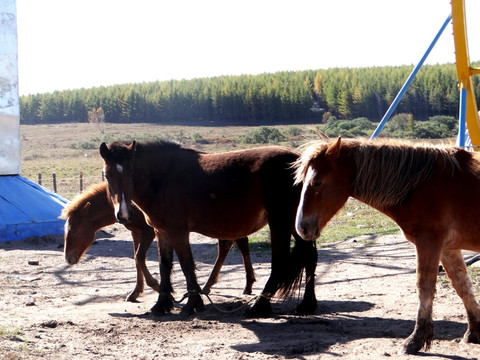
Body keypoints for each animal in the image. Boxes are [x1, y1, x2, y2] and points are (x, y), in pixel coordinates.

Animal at [61, 183, 258, 300]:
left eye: (75, 229)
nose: (68, 258)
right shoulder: (136, 232)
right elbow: (136, 260)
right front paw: (136, 292)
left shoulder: (149, 231)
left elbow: (139, 257)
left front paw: (156, 286)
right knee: (234, 243)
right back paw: (236, 284)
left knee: (230, 244)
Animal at [100, 139, 318, 316]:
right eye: (107, 175)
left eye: (131, 172)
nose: (124, 214)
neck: (164, 178)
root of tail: (299, 162)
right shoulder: (162, 232)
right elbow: (165, 266)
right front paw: (162, 304)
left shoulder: (178, 232)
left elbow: (187, 266)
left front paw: (192, 304)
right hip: (294, 224)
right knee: (310, 256)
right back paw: (307, 304)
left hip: (280, 223)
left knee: (280, 262)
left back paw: (259, 306)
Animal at [294, 137, 480, 354]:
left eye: (317, 182)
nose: (302, 228)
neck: (421, 184)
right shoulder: (448, 249)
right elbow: (462, 285)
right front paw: (474, 331)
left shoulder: (428, 242)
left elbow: (424, 287)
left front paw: (415, 340)